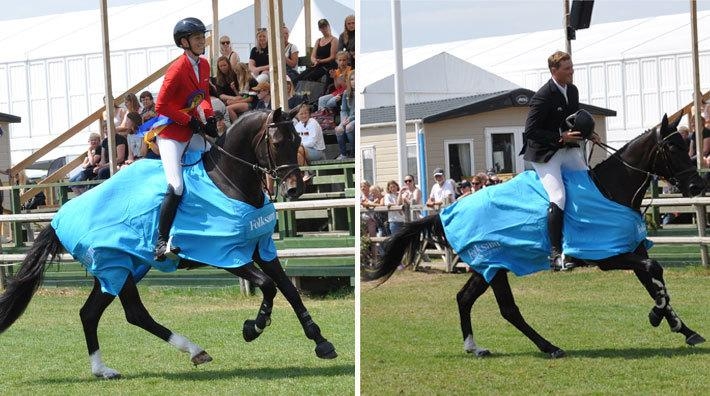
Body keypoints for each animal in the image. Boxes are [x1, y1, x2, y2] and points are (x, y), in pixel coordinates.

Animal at [0, 107, 336, 378]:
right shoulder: (225, 255)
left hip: (123, 269)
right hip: (116, 267)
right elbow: (268, 286)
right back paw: (191, 350)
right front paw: (253, 327)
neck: (228, 183)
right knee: (130, 313)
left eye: (299, 141)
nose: (293, 189)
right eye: (277, 143)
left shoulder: (262, 248)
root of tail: (59, 218)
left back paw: (105, 369)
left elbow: (289, 290)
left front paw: (321, 341)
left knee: (96, 314)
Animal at [370, 113, 708, 358]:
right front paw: (656, 316)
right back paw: (550, 347)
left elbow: (655, 280)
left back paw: (474, 347)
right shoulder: (609, 256)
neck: (611, 190)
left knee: (464, 298)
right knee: (507, 309)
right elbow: (654, 272)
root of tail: (448, 210)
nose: (696, 186)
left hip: (486, 267)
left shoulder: (633, 250)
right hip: (496, 265)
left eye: (687, 144)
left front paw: (682, 327)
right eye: (673, 148)